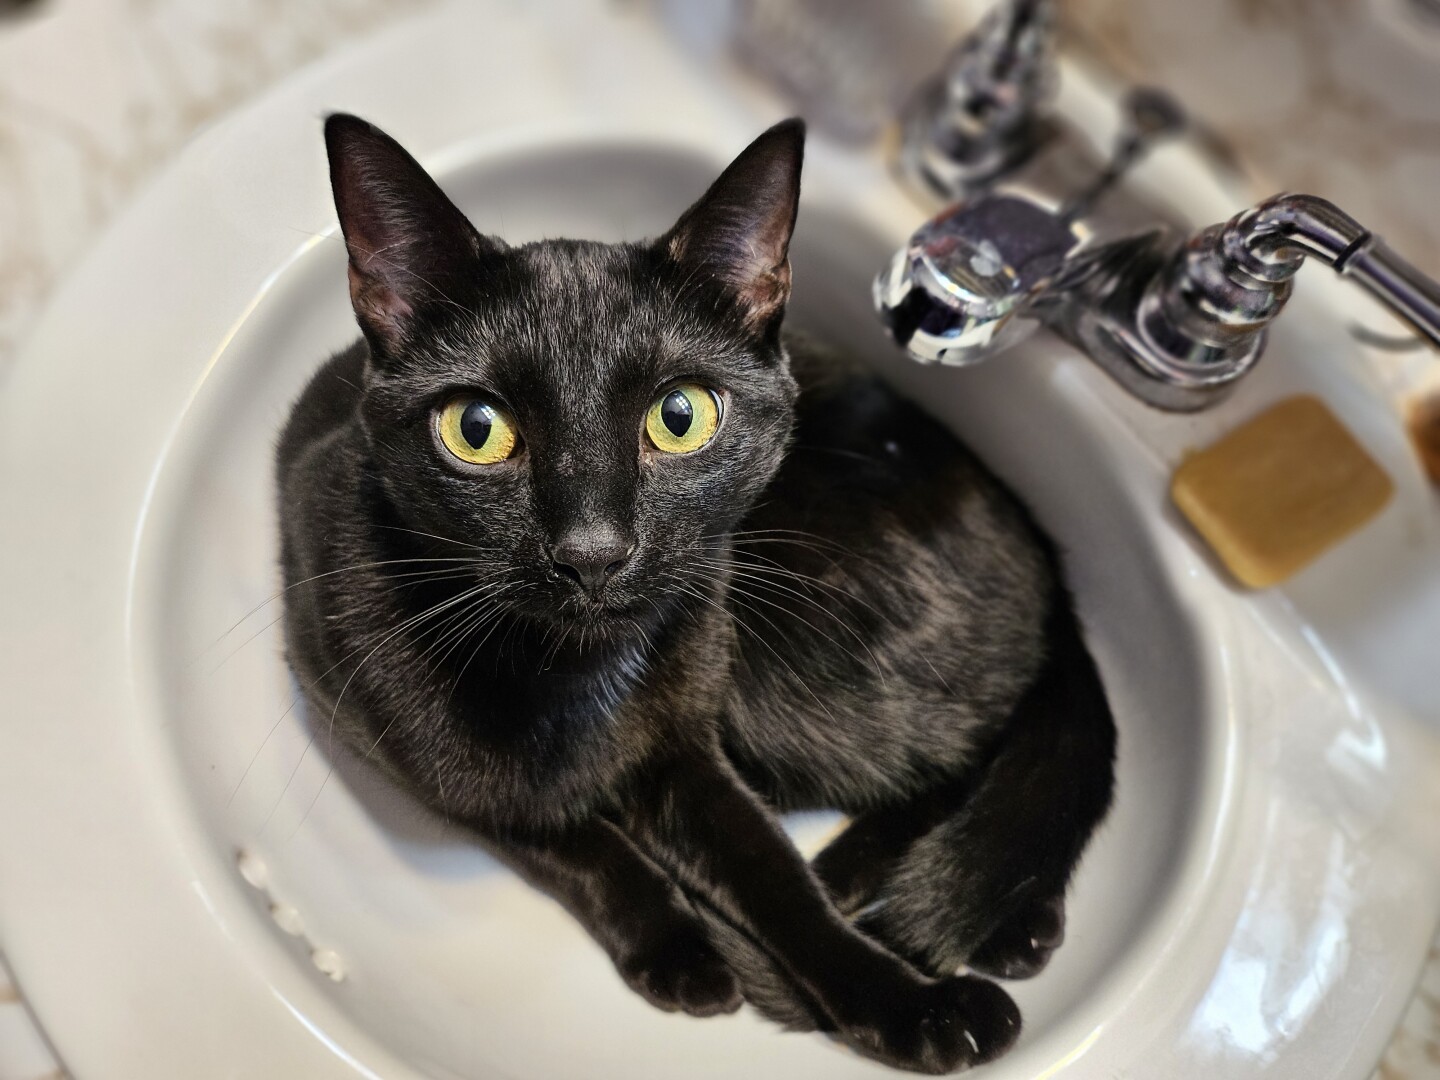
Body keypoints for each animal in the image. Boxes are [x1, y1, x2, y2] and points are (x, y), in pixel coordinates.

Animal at [277, 114, 1111, 1077]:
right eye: (476, 430)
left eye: (681, 417)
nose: (593, 551)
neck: (574, 678)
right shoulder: (406, 750)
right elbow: (573, 841)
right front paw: (682, 951)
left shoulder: (692, 747)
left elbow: (774, 877)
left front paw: (905, 1002)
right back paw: (1013, 925)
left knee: (962, 744)